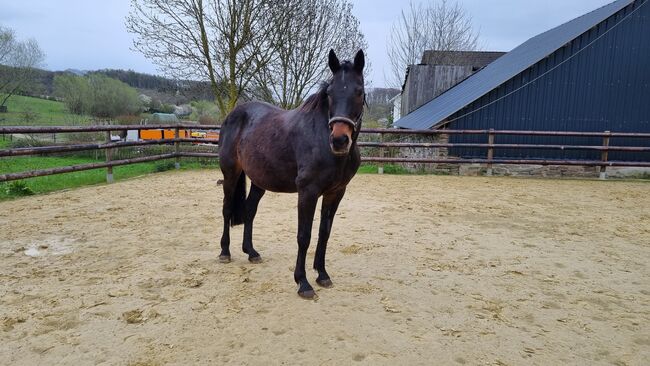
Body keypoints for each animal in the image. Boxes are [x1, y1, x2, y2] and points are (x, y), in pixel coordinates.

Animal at [216, 50, 360, 298]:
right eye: (330, 93)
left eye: (359, 91)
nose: (340, 140)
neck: (321, 139)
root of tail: (233, 115)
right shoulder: (308, 192)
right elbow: (304, 236)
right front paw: (303, 282)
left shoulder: (336, 192)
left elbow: (324, 233)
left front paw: (322, 274)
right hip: (230, 173)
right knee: (226, 209)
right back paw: (225, 252)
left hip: (259, 180)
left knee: (249, 210)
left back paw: (251, 252)